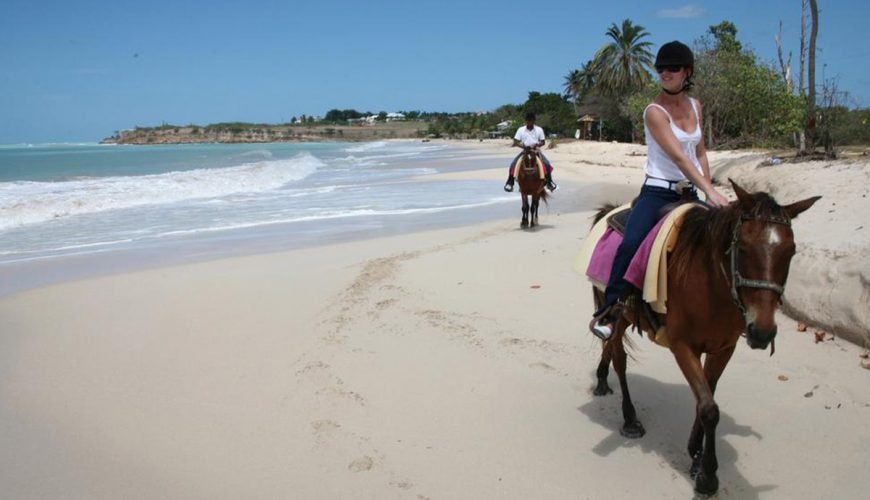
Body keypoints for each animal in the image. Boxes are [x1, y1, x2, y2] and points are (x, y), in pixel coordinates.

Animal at [588, 180, 820, 496]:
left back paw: (602, 379)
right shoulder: (683, 347)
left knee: (610, 351)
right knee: (619, 358)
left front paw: (696, 455)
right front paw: (708, 475)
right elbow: (709, 408)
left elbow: (706, 396)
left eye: (791, 251)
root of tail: (609, 211)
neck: (711, 285)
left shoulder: (724, 348)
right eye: (742, 248)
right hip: (617, 312)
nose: (762, 332)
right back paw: (630, 418)